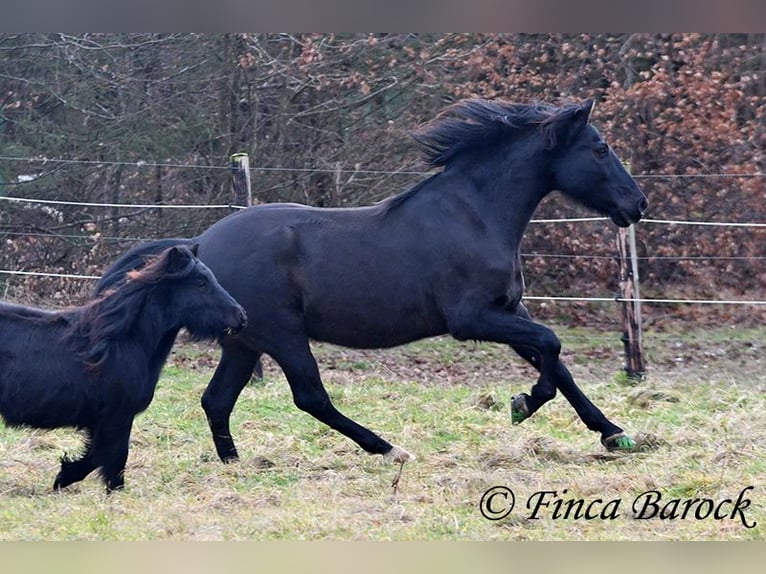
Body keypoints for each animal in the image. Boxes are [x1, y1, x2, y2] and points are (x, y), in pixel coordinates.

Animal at [0, 245, 246, 492]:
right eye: (201, 283)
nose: (241, 317)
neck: (122, 342)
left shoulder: (104, 421)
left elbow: (96, 458)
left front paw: (63, 476)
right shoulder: (117, 417)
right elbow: (113, 461)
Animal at [96, 99, 648, 468]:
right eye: (600, 148)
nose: (637, 204)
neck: (475, 215)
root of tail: (200, 245)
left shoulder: (509, 310)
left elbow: (559, 364)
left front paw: (613, 434)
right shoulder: (473, 319)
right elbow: (552, 348)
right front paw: (523, 405)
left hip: (245, 340)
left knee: (217, 400)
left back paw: (236, 464)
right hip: (282, 334)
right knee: (309, 396)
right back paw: (388, 447)